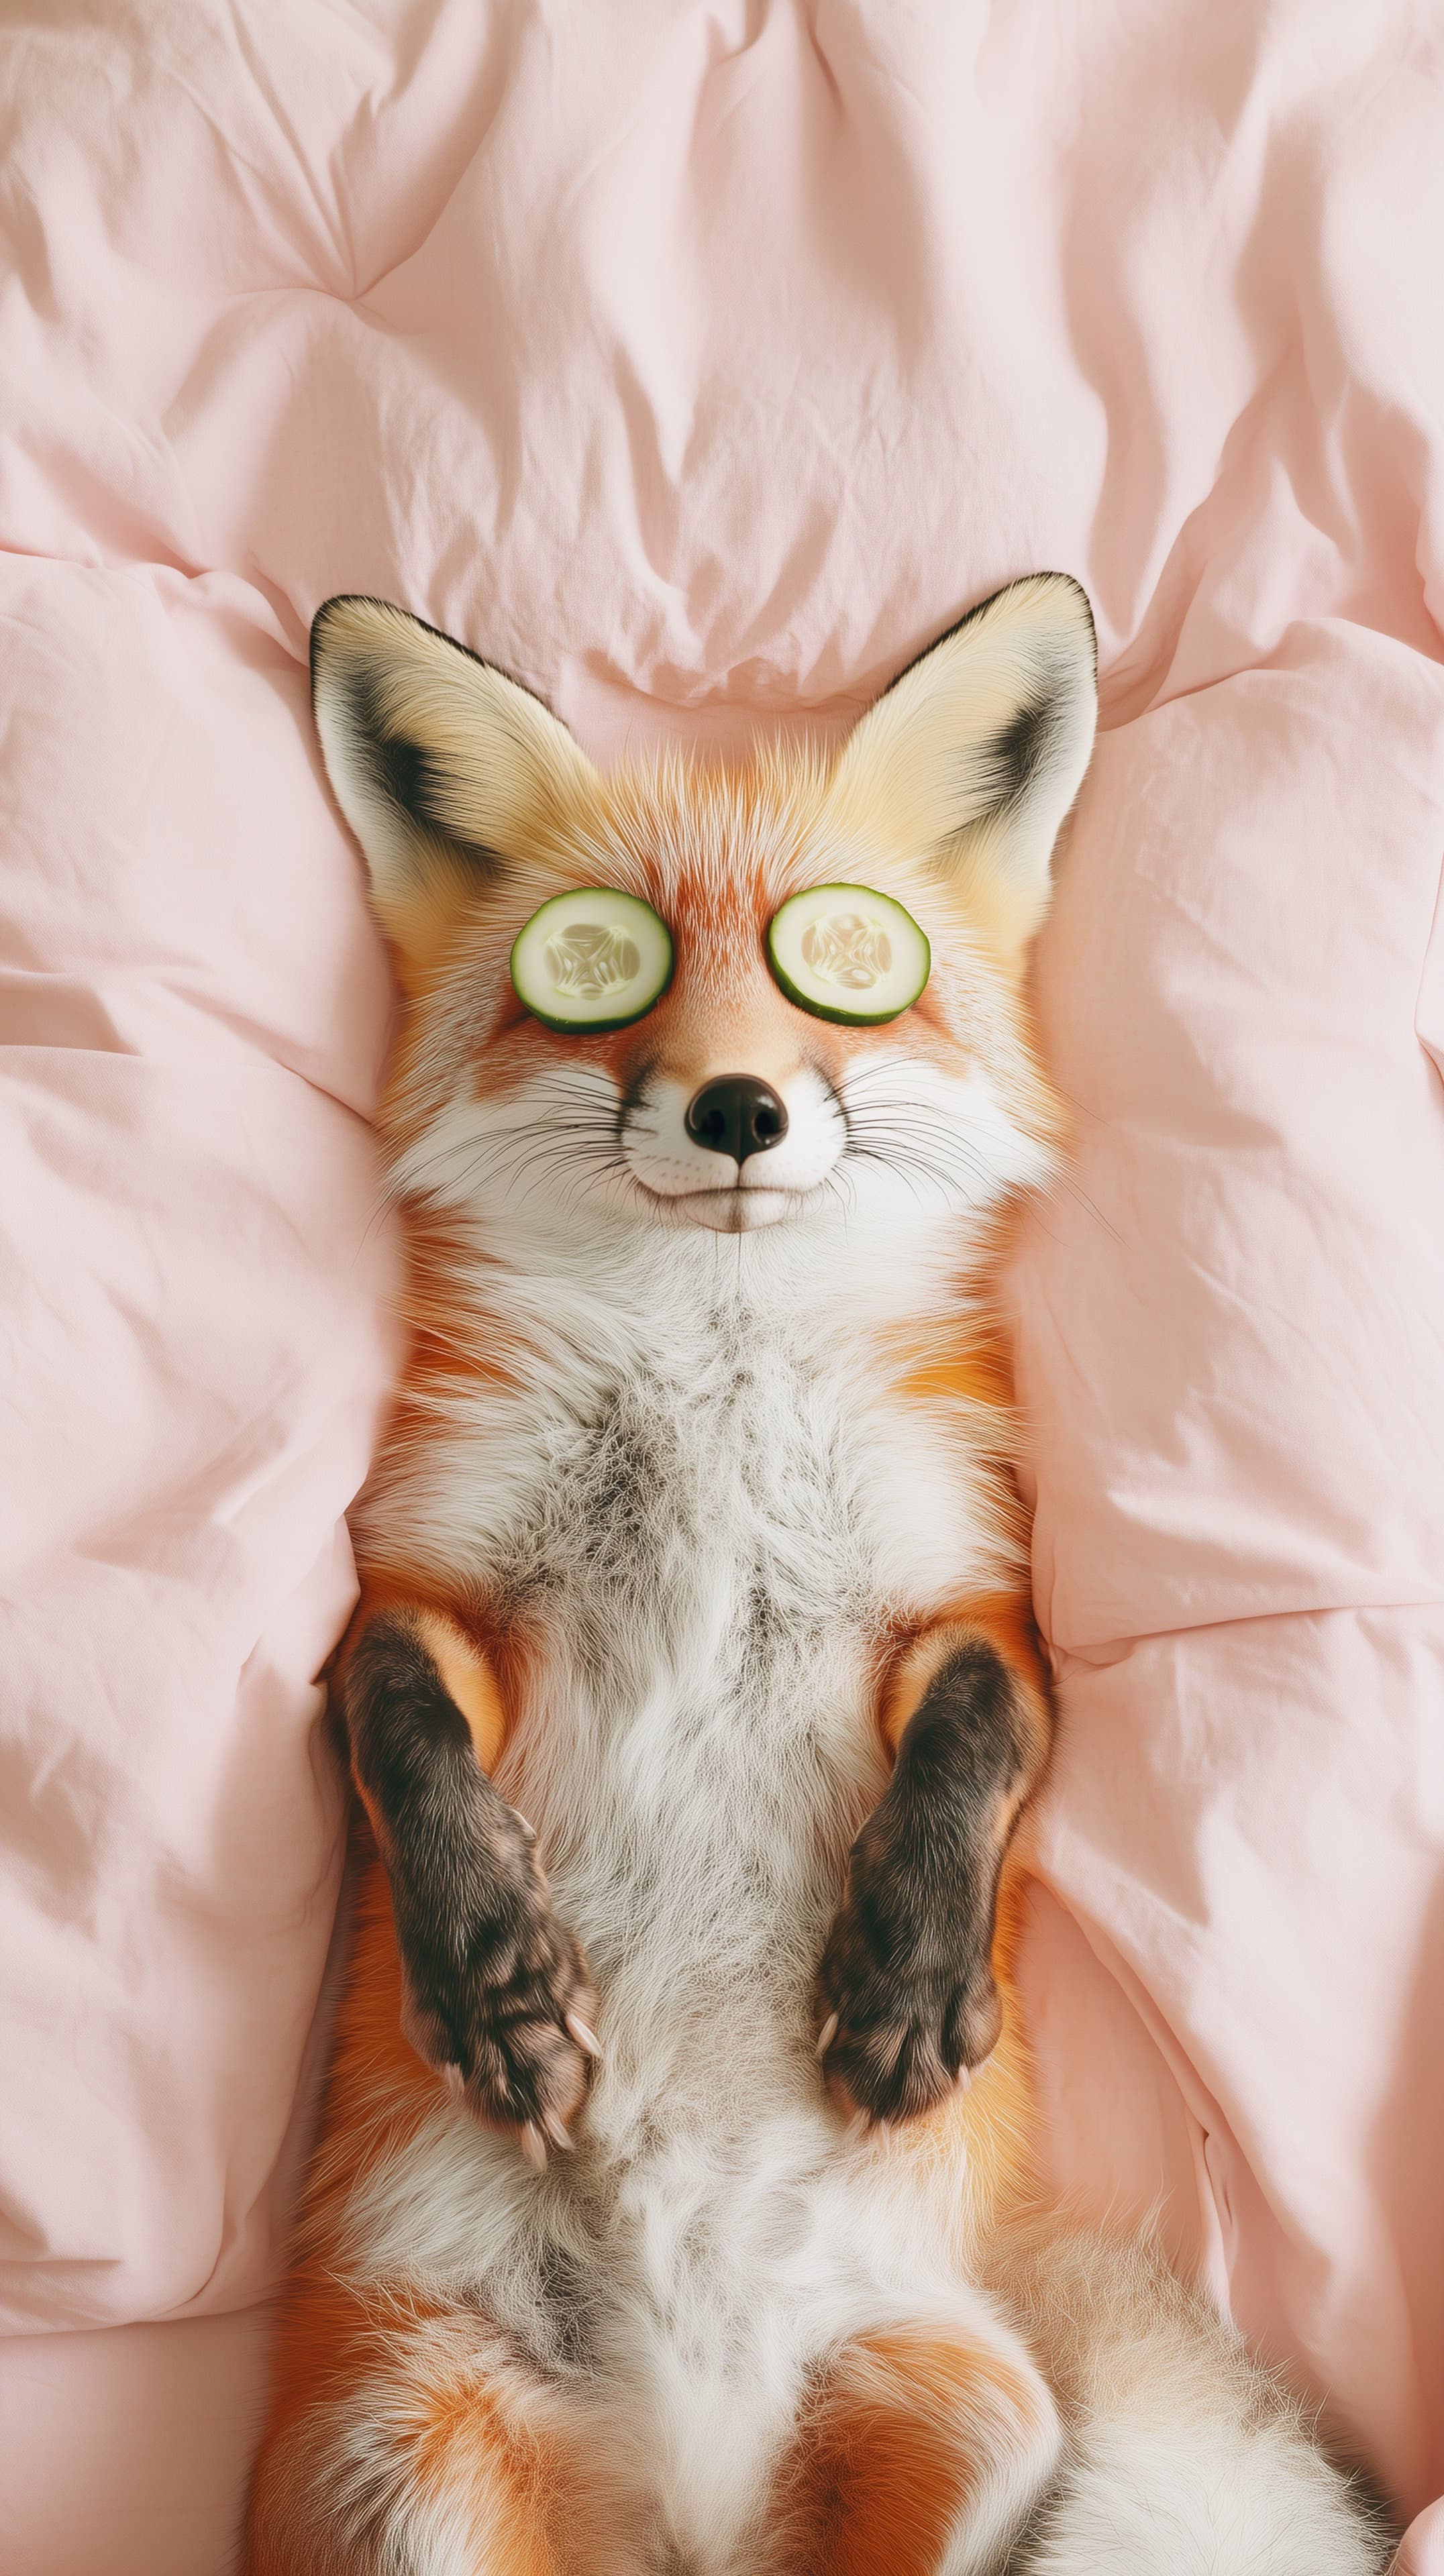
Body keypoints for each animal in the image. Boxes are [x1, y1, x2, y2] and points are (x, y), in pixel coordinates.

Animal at [244, 575, 1391, 2575]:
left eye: (839, 961)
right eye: (596, 967)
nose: (735, 1108)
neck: (713, 1364)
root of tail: (687, 2520)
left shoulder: (965, 1586)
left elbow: (981, 1730)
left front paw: (909, 1976)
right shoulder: (431, 1577)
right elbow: (395, 1731)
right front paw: (491, 1979)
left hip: (979, 2415)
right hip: (409, 2467)